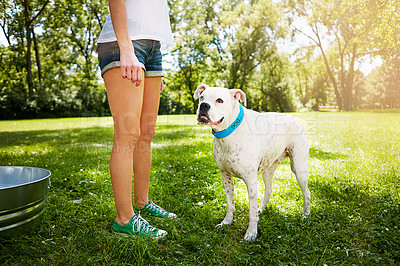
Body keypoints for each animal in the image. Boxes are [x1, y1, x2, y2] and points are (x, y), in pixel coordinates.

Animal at [193, 84, 310, 241]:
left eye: (219, 100)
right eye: (201, 97)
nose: (203, 105)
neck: (229, 134)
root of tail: (294, 118)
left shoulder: (251, 182)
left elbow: (251, 212)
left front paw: (251, 233)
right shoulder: (225, 176)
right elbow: (230, 203)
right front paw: (227, 222)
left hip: (299, 168)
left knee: (307, 193)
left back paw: (305, 216)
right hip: (268, 169)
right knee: (268, 190)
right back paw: (261, 209)